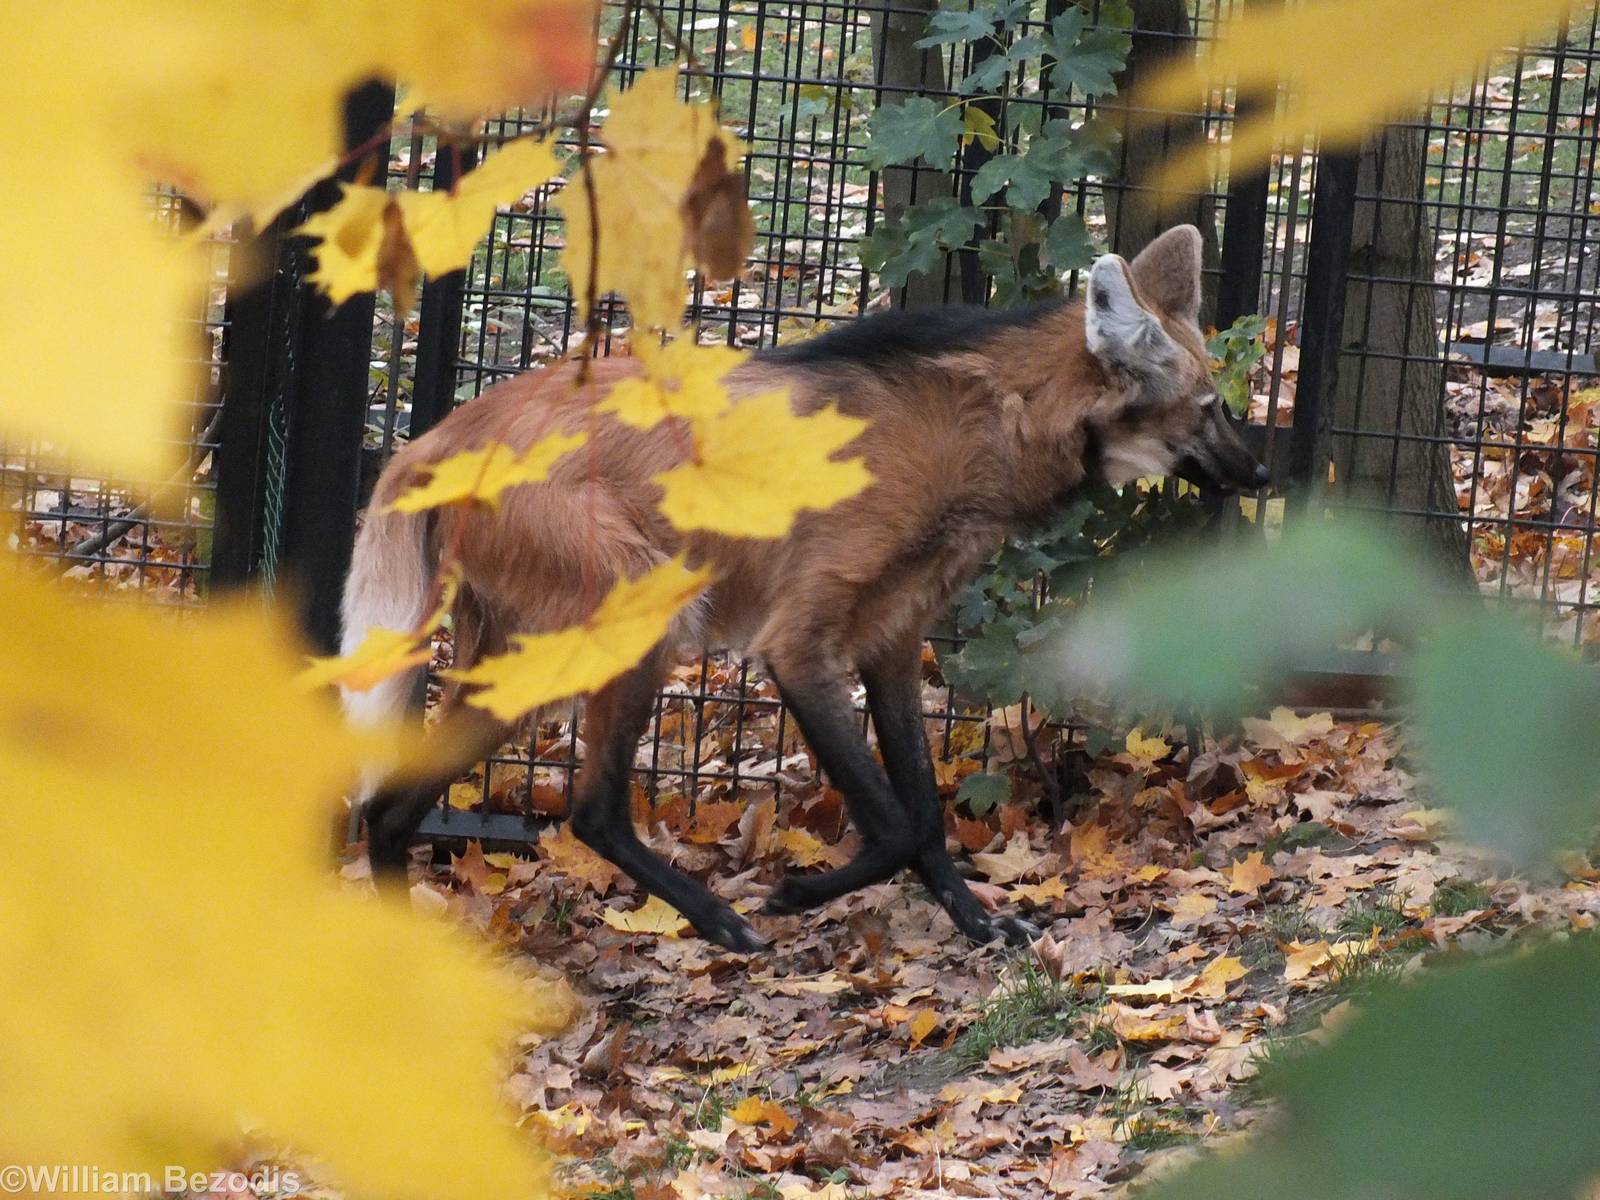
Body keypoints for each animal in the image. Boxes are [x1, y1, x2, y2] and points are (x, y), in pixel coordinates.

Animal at [341, 224, 1268, 953]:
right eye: (1210, 406)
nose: (1260, 473)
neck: (986, 428)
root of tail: (439, 436)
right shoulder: (799, 642)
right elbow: (896, 820)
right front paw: (797, 893)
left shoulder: (892, 637)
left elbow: (926, 810)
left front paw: (978, 923)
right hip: (639, 609)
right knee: (592, 809)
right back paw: (723, 922)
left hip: (529, 661)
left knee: (389, 809)